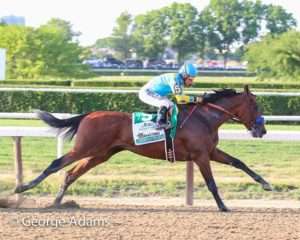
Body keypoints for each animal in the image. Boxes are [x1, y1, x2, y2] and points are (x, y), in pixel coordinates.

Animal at [14, 85, 272, 211]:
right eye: (255, 105)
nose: (262, 130)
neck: (205, 118)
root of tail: (89, 115)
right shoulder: (200, 156)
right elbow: (211, 183)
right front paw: (223, 206)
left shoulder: (210, 152)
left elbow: (239, 162)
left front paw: (266, 184)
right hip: (85, 148)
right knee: (56, 164)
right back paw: (22, 188)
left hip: (100, 154)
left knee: (70, 174)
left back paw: (57, 202)